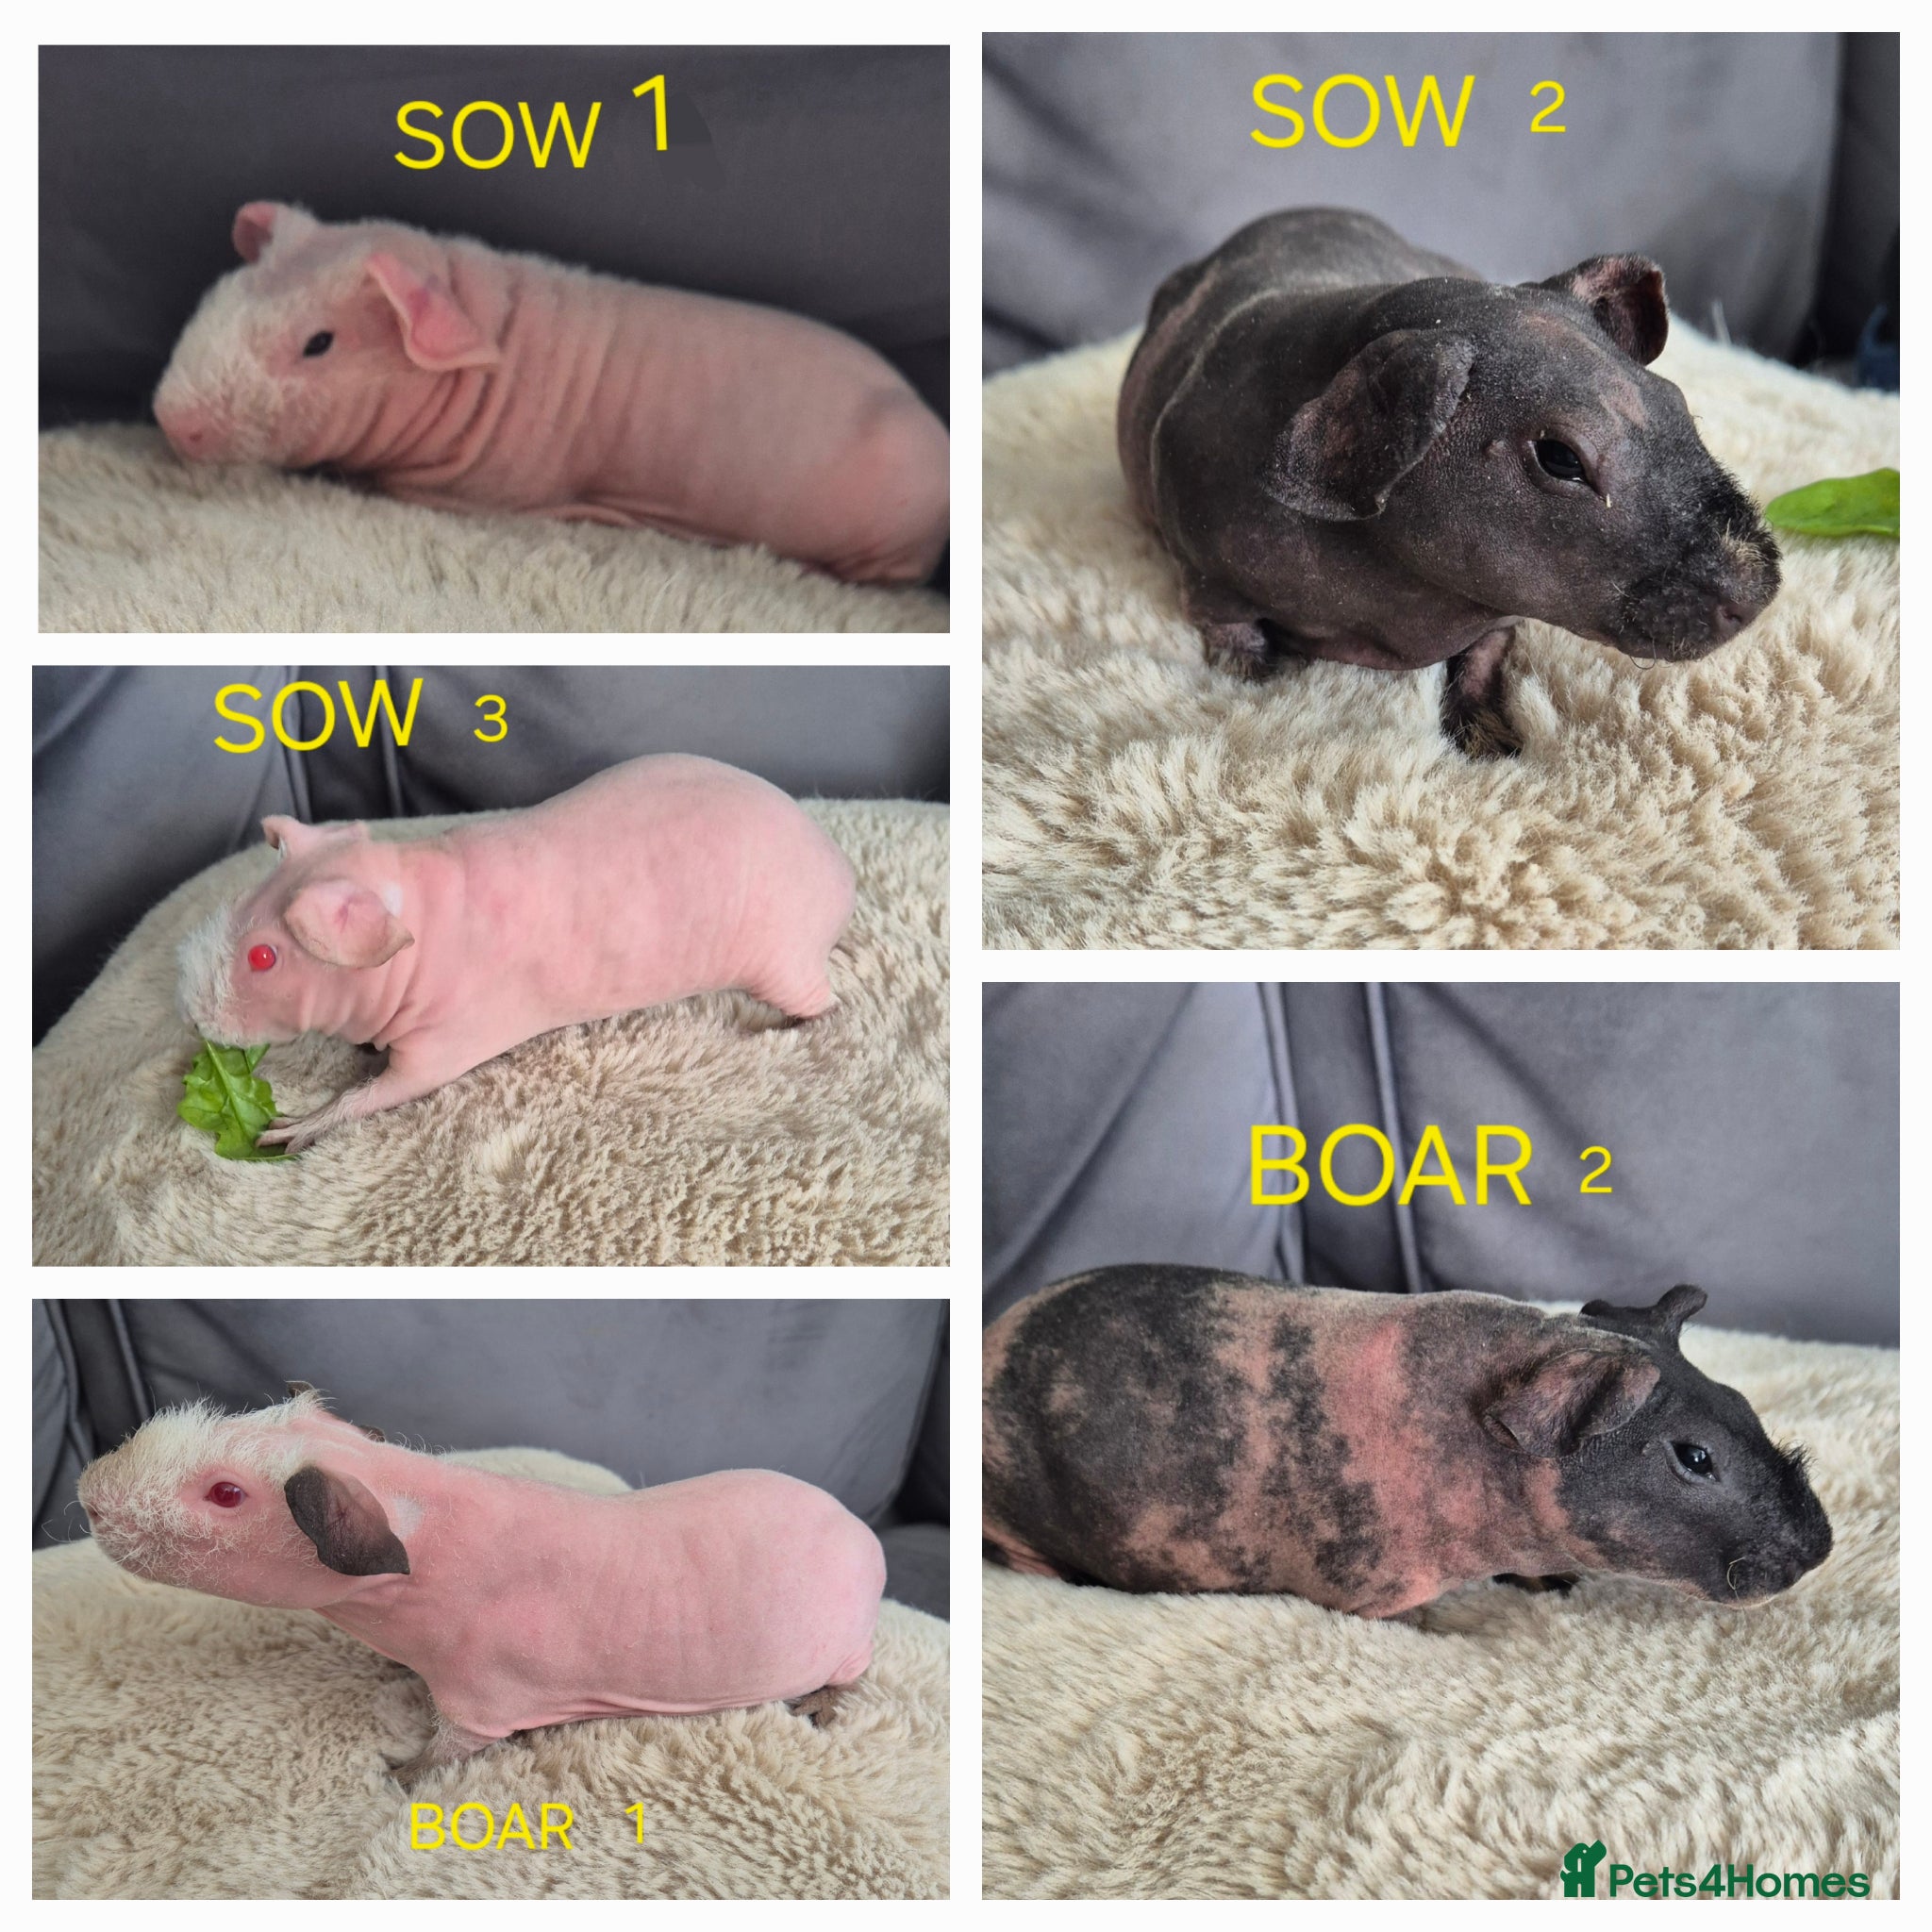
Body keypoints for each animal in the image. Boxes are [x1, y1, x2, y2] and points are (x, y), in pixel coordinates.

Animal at [76, 1386, 886, 1785]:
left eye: (225, 1494)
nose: (86, 1493)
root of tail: (867, 1541)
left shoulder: (483, 1700)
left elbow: (443, 1754)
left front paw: (396, 1773)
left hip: (844, 1649)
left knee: (852, 1677)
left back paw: (817, 1704)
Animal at [176, 753, 855, 1153]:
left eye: (264, 958)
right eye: (244, 901)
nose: (193, 1017)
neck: (415, 907)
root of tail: (837, 870)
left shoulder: (444, 1040)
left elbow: (385, 1090)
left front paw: (297, 1127)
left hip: (780, 956)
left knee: (827, 1005)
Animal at [1117, 208, 1782, 756]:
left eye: (1675, 402)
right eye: (1561, 458)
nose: (1759, 588)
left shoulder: (1501, 615)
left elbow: (1484, 660)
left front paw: (1494, 741)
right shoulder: (1203, 569)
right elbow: (1229, 632)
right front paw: (1257, 676)